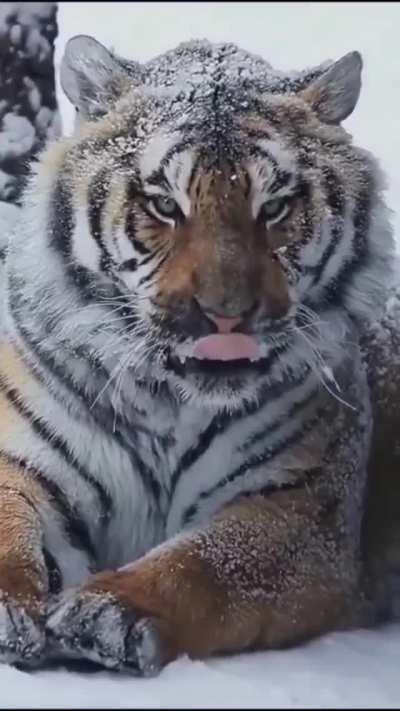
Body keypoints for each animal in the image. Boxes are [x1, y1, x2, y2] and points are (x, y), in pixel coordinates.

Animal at [0, 34, 399, 676]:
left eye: (275, 207)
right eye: (165, 205)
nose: (226, 314)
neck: (166, 400)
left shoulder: (304, 508)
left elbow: (204, 565)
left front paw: (106, 614)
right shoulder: (24, 463)